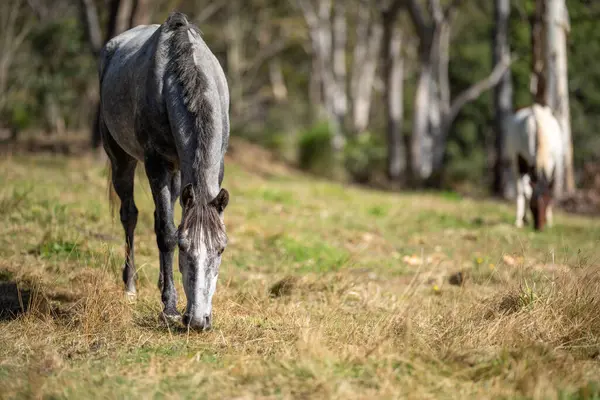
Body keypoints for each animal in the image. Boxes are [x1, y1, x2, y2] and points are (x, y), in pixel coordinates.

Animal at [98, 12, 230, 332]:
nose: (199, 321)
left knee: (162, 211)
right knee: (130, 215)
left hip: (177, 173)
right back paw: (131, 286)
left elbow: (170, 221)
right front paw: (170, 308)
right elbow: (167, 232)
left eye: (221, 249)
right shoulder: (155, 163)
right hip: (121, 158)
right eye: (184, 248)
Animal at [504, 103, 564, 231]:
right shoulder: (521, 161)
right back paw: (522, 219)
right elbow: (525, 192)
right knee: (522, 189)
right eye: (534, 206)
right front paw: (521, 220)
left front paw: (549, 220)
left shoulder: (550, 164)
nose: (539, 228)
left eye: (548, 202)